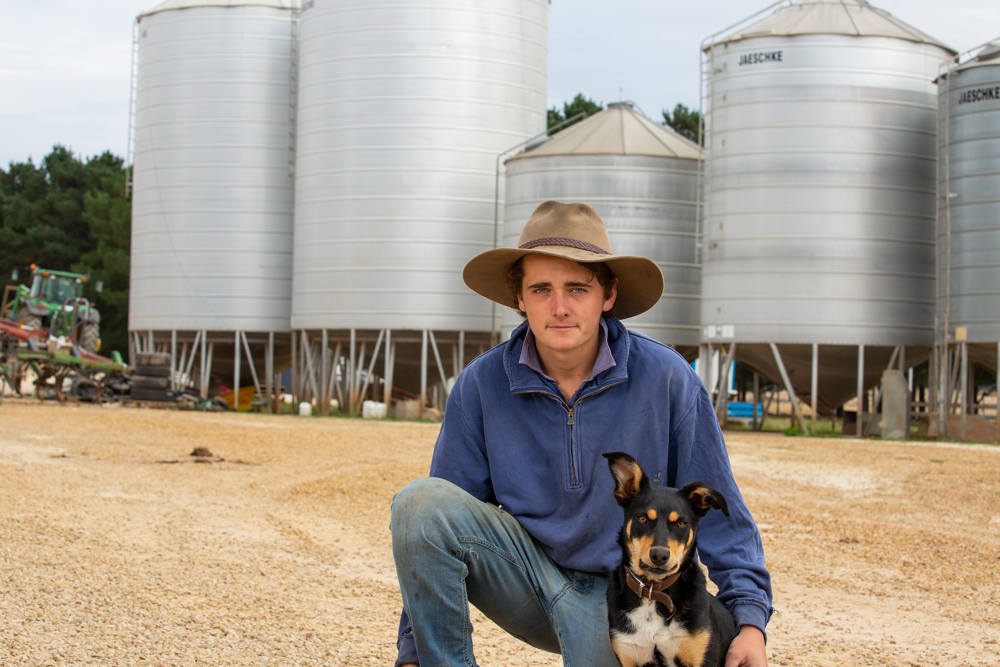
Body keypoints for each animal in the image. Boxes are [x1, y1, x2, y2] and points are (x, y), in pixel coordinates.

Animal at [600, 454, 736, 667]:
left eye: (680, 523)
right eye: (642, 518)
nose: (659, 556)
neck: (653, 593)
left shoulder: (701, 657)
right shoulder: (629, 654)